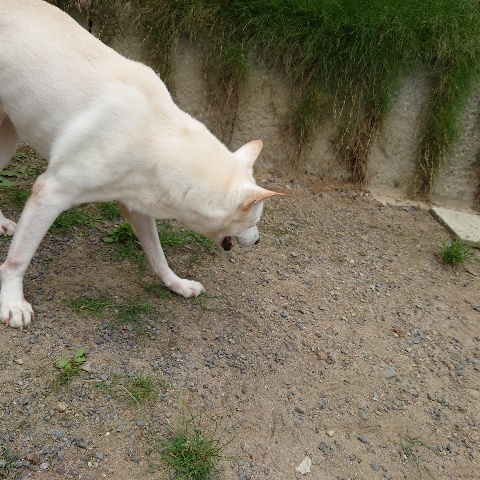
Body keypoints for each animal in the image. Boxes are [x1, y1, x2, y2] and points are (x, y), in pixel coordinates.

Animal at [0, 0, 283, 329]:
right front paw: (12, 302)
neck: (156, 140)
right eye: (253, 222)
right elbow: (18, 259)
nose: (258, 241)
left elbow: (157, 255)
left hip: (8, 137)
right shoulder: (50, 194)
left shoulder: (137, 205)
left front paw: (177, 284)